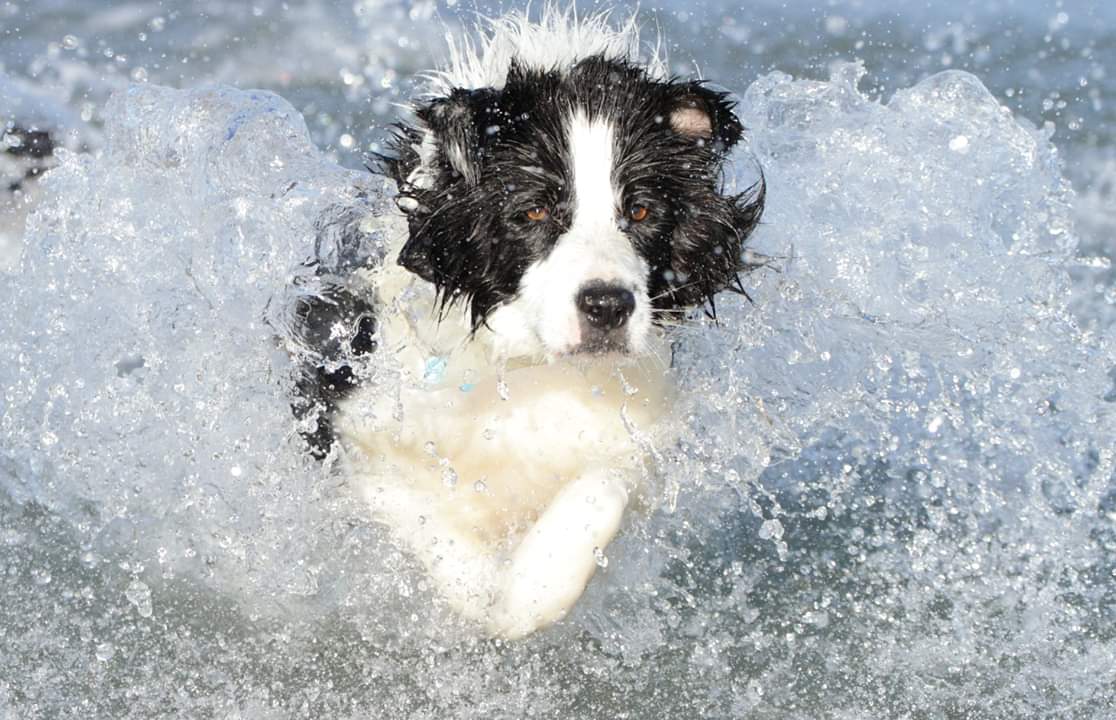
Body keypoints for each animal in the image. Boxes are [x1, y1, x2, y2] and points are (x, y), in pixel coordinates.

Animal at [287, 8, 763, 638]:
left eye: (640, 210)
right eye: (534, 210)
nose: (607, 306)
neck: (528, 369)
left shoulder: (635, 420)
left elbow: (602, 485)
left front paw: (532, 589)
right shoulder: (352, 408)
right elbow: (409, 503)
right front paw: (481, 591)